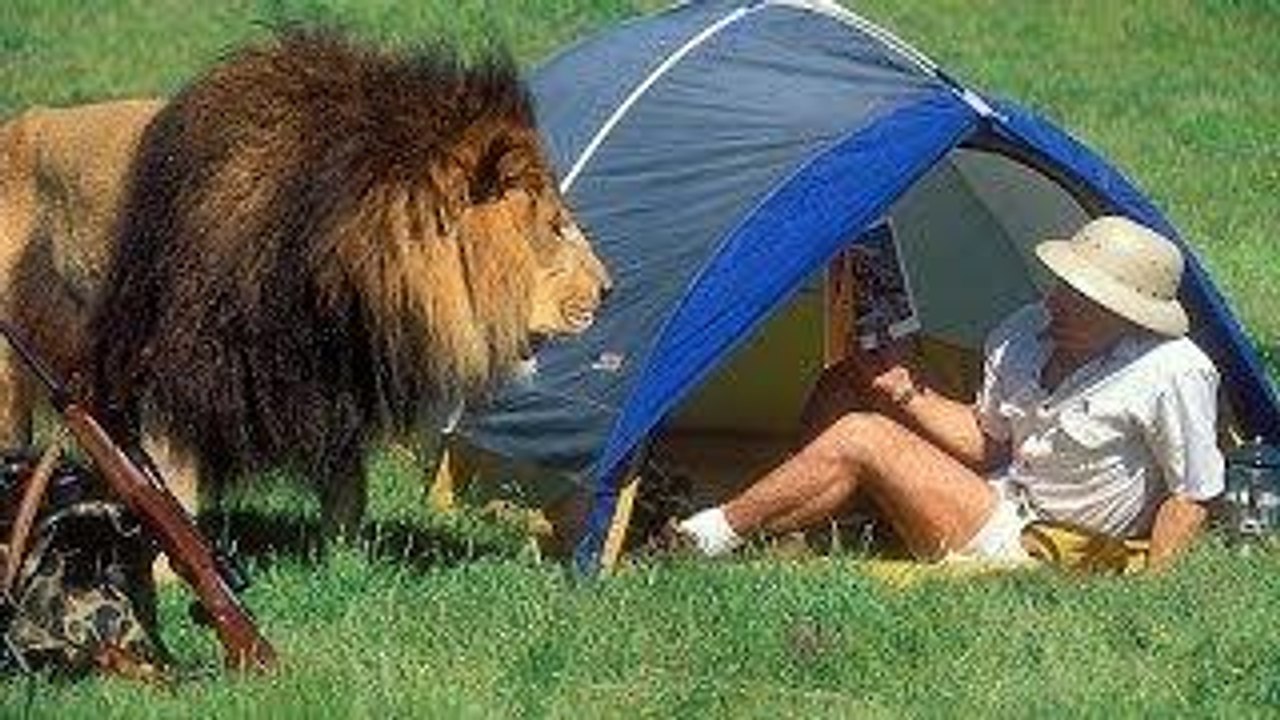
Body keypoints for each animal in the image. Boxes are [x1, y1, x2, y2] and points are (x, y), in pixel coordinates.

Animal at [0, 32, 611, 536]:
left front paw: (343, 559)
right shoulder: (177, 369)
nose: (609, 290)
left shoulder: (330, 375)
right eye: (556, 227)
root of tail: (20, 123)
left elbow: (347, 485)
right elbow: (173, 486)